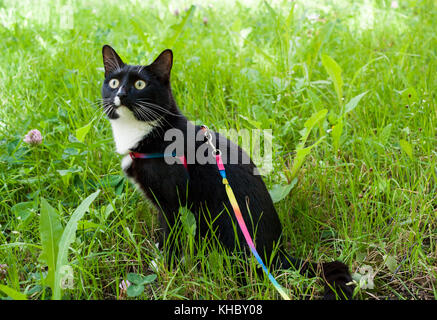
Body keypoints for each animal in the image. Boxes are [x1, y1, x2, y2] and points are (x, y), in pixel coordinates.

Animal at [100, 45, 352, 300]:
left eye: (140, 84)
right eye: (113, 82)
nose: (121, 94)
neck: (147, 133)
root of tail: (276, 252)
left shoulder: (172, 203)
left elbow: (170, 236)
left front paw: (164, 268)